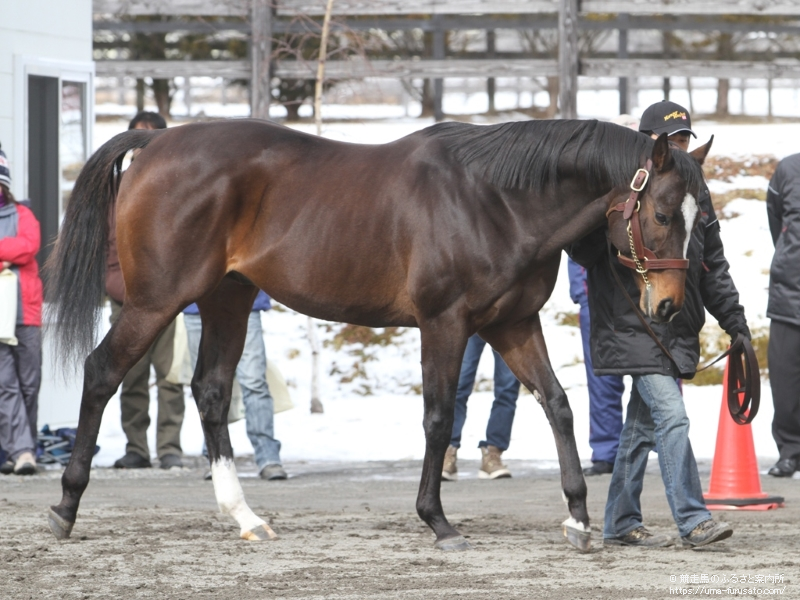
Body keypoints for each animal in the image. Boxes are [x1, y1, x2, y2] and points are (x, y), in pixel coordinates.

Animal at [45, 118, 708, 552]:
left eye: (699, 216)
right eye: (662, 215)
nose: (669, 306)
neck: (495, 199)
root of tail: (155, 142)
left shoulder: (511, 323)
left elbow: (557, 404)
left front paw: (577, 518)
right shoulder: (445, 324)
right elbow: (439, 417)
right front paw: (437, 520)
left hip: (227, 298)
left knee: (210, 391)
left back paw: (245, 517)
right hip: (156, 300)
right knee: (103, 372)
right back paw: (65, 508)